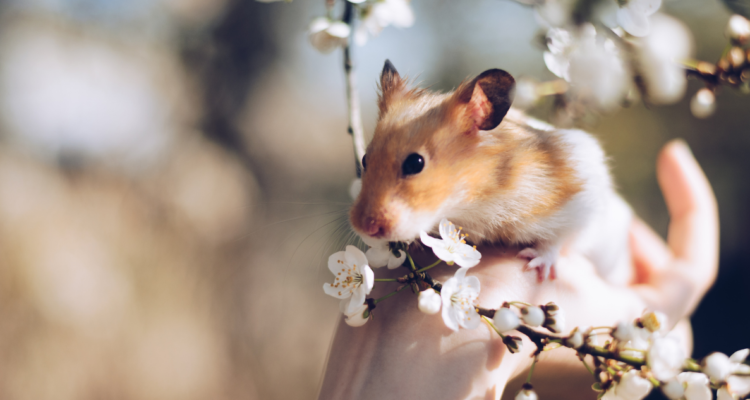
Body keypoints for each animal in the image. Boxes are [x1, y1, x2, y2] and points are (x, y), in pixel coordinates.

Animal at [349, 60, 632, 283]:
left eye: (415, 163)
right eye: (364, 159)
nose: (364, 227)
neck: (475, 200)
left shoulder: (583, 193)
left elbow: (560, 238)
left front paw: (535, 265)